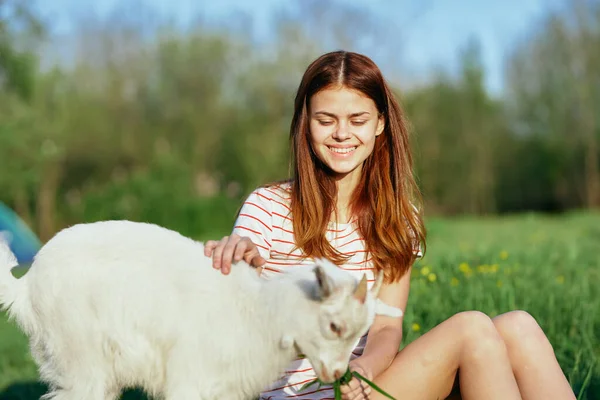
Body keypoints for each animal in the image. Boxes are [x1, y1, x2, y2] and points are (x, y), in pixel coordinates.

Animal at [2, 220, 400, 400]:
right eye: (334, 326)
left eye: (361, 334)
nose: (336, 374)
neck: (256, 310)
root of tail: (26, 285)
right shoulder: (189, 380)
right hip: (80, 357)